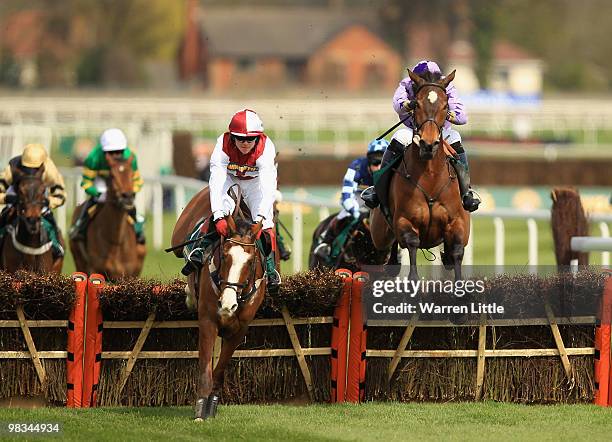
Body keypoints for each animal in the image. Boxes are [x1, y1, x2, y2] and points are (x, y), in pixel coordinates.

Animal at [170, 187, 266, 422]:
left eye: (251, 261)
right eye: (224, 254)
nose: (228, 304)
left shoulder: (240, 328)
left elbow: (220, 369)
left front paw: (211, 405)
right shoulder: (208, 320)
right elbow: (205, 369)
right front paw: (199, 411)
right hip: (178, 236)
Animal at [370, 70, 470, 280]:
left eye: (446, 106)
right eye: (416, 104)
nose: (428, 143)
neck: (430, 177)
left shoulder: (457, 223)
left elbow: (457, 251)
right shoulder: (404, 221)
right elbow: (412, 244)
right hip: (379, 234)